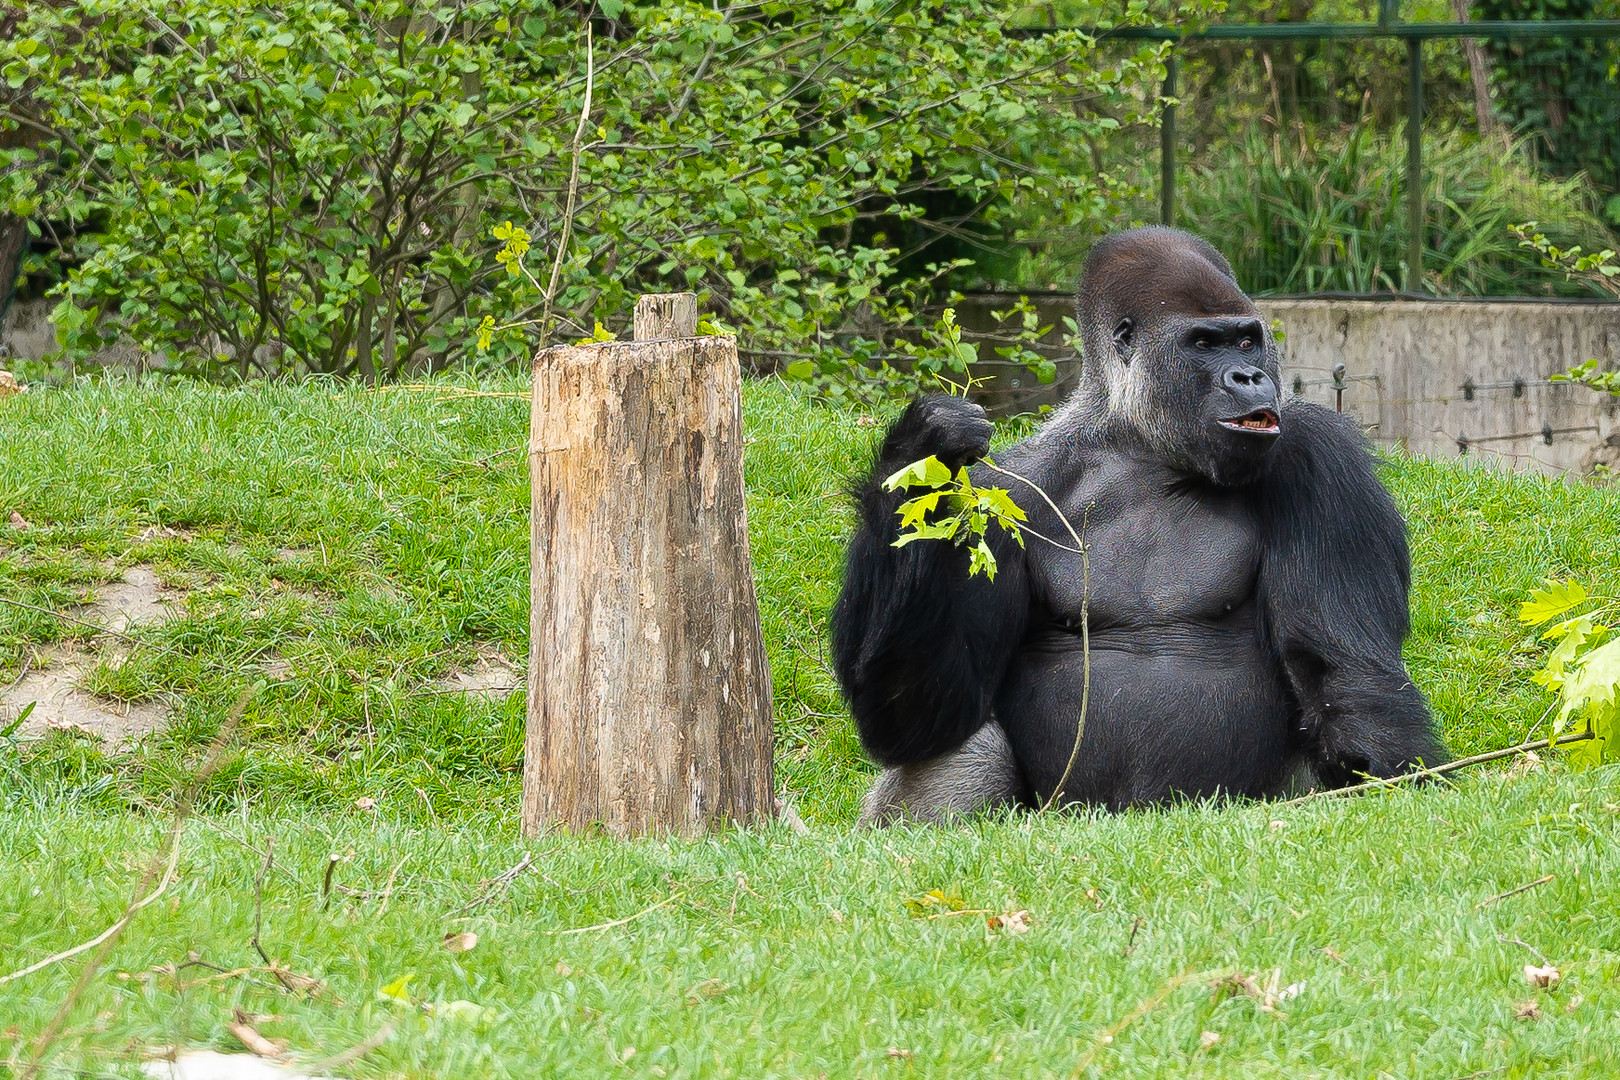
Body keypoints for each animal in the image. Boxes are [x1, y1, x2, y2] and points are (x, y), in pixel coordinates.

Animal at [835, 223, 1445, 822]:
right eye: (1204, 344)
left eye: (1247, 339)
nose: (1249, 376)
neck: (1139, 448)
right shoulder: (1007, 489)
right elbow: (930, 712)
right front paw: (918, 452)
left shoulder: (1320, 453)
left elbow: (1346, 677)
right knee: (966, 746)